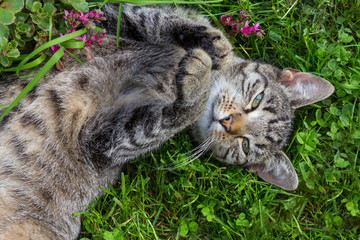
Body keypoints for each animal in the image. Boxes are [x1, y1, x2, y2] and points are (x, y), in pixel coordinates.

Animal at [0, 2, 334, 240]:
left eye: (245, 146)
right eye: (257, 100)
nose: (228, 124)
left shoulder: (106, 141)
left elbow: (165, 119)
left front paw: (198, 79)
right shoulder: (109, 18)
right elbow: (165, 16)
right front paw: (217, 45)